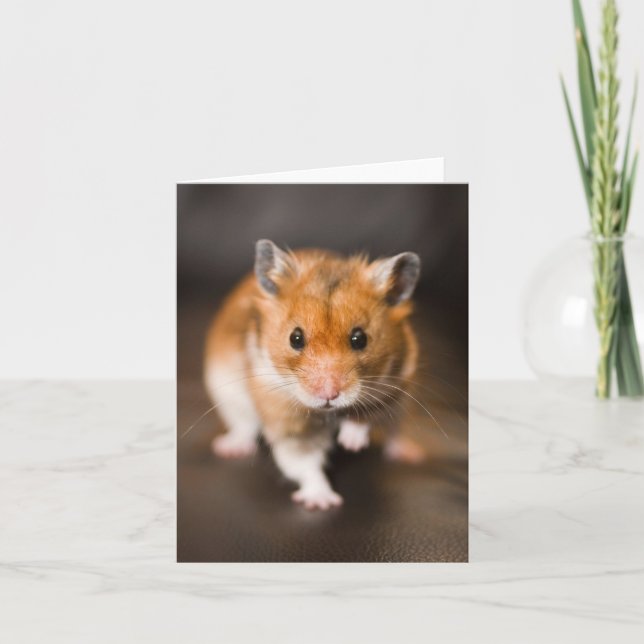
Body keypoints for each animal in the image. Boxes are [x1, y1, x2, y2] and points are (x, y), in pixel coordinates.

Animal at [204, 239, 421, 510]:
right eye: (295, 338)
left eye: (360, 338)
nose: (329, 394)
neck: (328, 414)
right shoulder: (287, 423)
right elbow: (304, 463)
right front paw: (323, 503)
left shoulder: (395, 384)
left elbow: (367, 415)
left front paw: (351, 444)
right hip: (229, 397)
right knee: (242, 427)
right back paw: (228, 448)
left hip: (402, 405)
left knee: (395, 430)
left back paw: (410, 453)